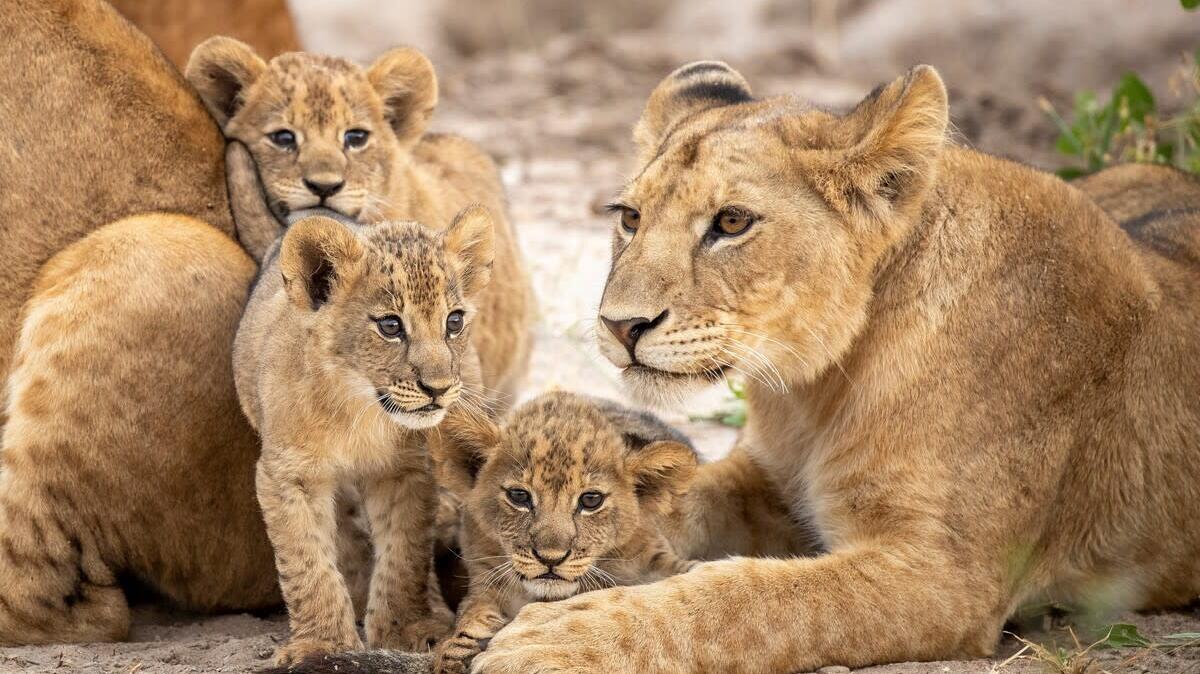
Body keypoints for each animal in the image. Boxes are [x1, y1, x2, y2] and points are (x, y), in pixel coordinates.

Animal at [236, 208, 498, 663]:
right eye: (391, 326)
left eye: (454, 321)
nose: (439, 388)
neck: (358, 411)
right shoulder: (288, 475)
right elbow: (306, 561)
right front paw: (323, 644)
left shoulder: (405, 471)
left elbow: (405, 554)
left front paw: (403, 629)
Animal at [465, 63, 1200, 673]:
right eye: (630, 218)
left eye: (732, 222)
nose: (621, 326)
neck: (818, 388)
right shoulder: (767, 480)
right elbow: (661, 503)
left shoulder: (945, 577)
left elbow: (754, 598)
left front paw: (557, 635)